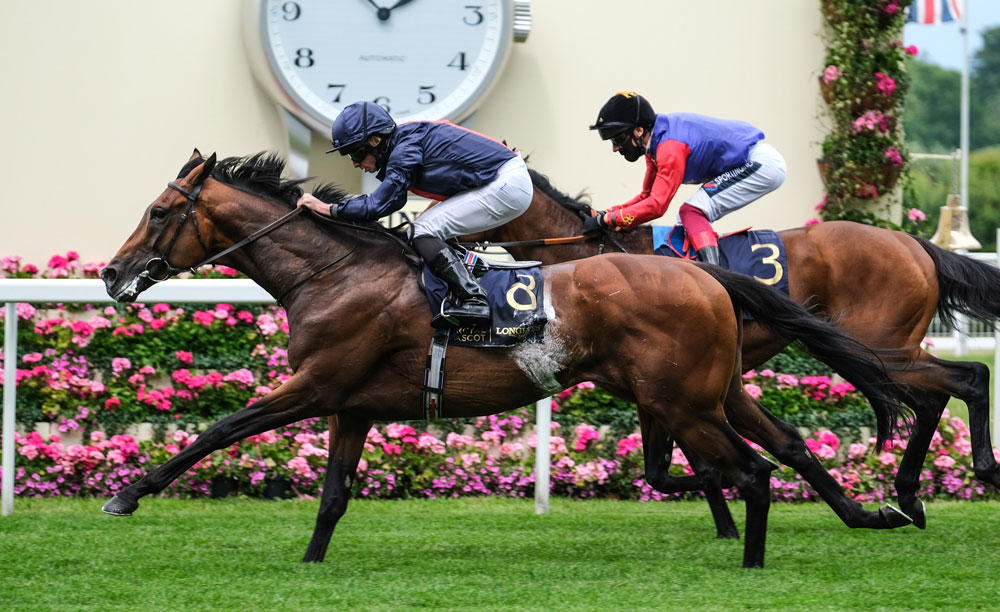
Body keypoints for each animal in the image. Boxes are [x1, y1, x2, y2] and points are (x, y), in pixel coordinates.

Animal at [97, 152, 912, 568]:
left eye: (160, 213)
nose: (111, 273)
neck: (333, 272)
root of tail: (705, 275)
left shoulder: (315, 383)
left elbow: (218, 430)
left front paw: (126, 496)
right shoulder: (351, 406)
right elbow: (332, 495)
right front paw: (311, 564)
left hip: (682, 400)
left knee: (752, 470)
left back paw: (754, 559)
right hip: (708, 391)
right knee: (780, 449)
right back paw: (871, 514)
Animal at [464, 170, 1000, 532]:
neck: (583, 262)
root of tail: (915, 244)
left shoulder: (671, 379)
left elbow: (698, 461)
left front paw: (728, 521)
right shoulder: (670, 384)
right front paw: (731, 516)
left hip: (880, 345)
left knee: (966, 377)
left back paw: (969, 474)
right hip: (872, 350)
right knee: (936, 395)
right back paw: (913, 495)